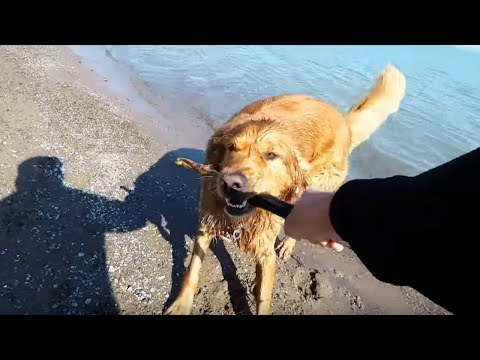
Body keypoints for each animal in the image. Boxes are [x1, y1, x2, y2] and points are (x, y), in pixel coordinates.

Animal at [164, 64, 404, 316]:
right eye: (231, 148)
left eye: (271, 155)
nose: (230, 183)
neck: (243, 220)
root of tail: (343, 122)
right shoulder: (207, 223)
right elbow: (192, 269)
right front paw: (181, 304)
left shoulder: (266, 252)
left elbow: (264, 299)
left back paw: (288, 244)